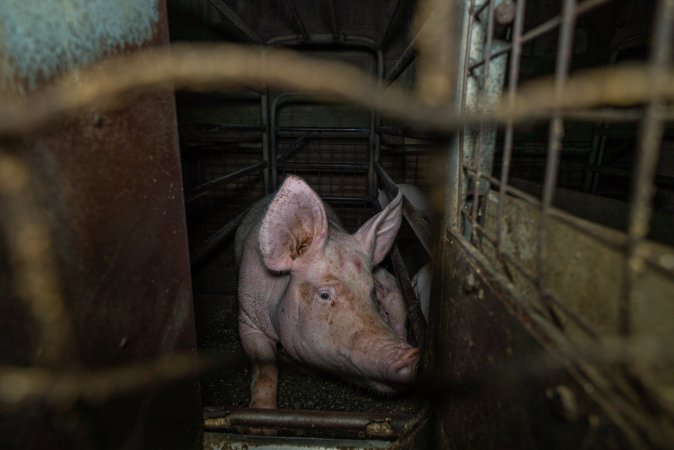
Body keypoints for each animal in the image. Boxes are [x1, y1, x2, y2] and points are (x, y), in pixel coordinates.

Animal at [234, 178, 418, 410]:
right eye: (324, 295)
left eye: (371, 293)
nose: (411, 357)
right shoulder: (248, 317)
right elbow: (266, 371)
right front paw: (261, 414)